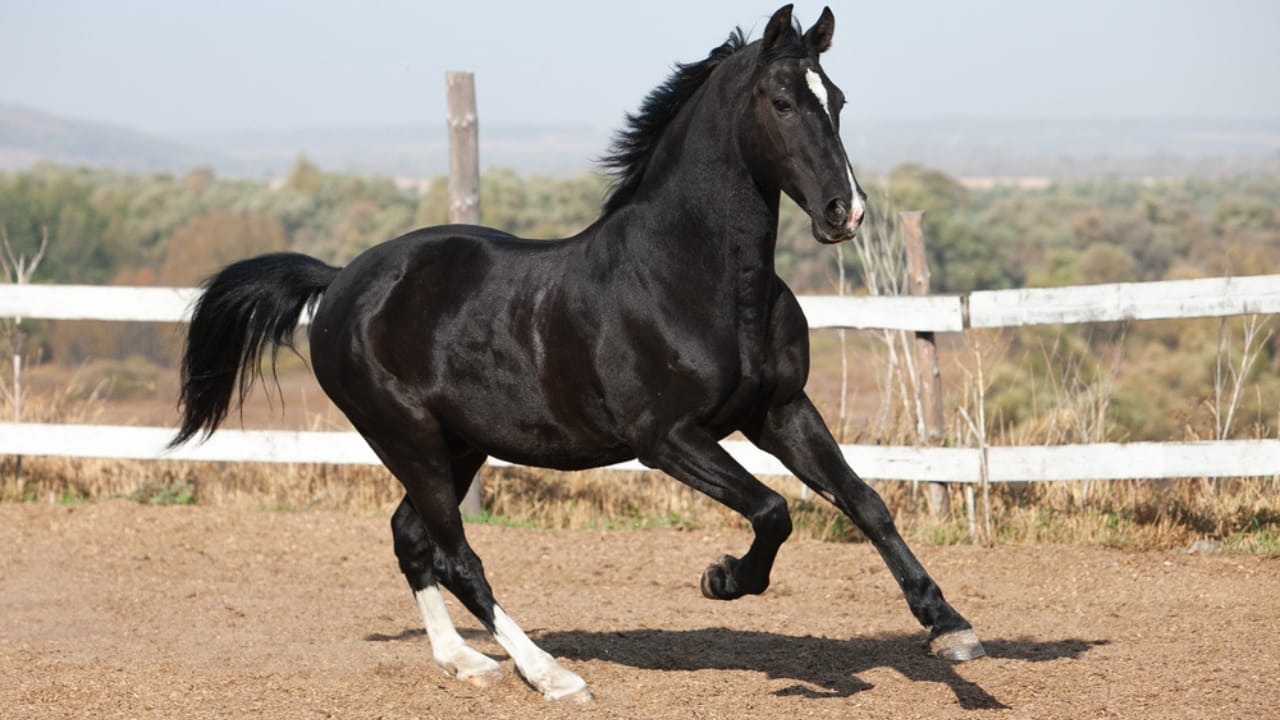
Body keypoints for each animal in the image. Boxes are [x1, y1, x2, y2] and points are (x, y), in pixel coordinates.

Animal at [171, 4, 984, 702]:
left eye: (836, 99)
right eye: (783, 102)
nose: (846, 213)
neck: (697, 280)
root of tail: (340, 281)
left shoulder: (780, 411)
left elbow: (866, 501)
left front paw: (950, 628)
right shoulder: (667, 438)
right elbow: (773, 509)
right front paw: (722, 579)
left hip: (458, 444)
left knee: (410, 540)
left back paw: (467, 664)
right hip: (408, 438)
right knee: (457, 555)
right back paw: (551, 675)